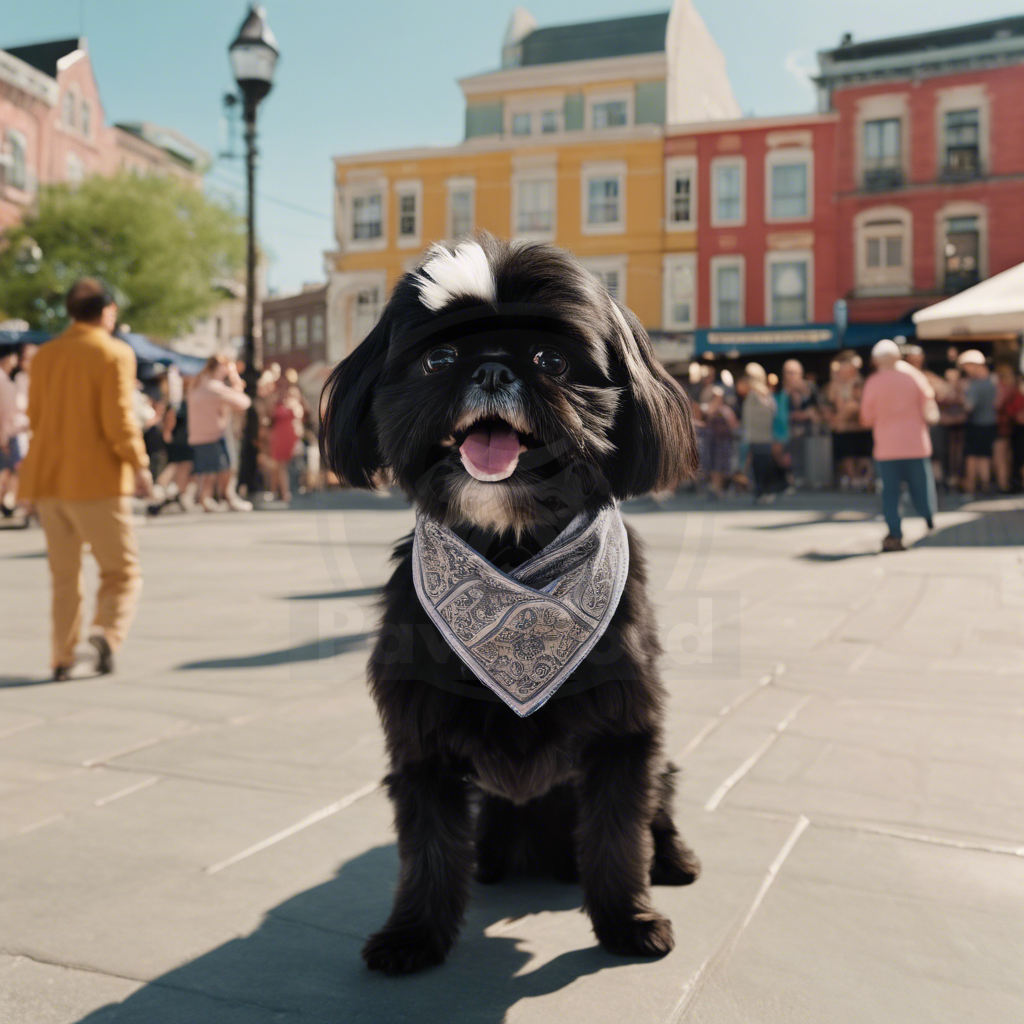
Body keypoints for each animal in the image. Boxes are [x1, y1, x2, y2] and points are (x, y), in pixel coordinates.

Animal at [321, 232, 704, 974]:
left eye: (551, 359)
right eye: (438, 358)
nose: (494, 370)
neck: (511, 551)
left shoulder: (625, 731)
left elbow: (619, 839)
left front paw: (628, 921)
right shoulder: (420, 740)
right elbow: (429, 850)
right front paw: (414, 934)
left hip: (659, 761)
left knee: (660, 809)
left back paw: (674, 859)